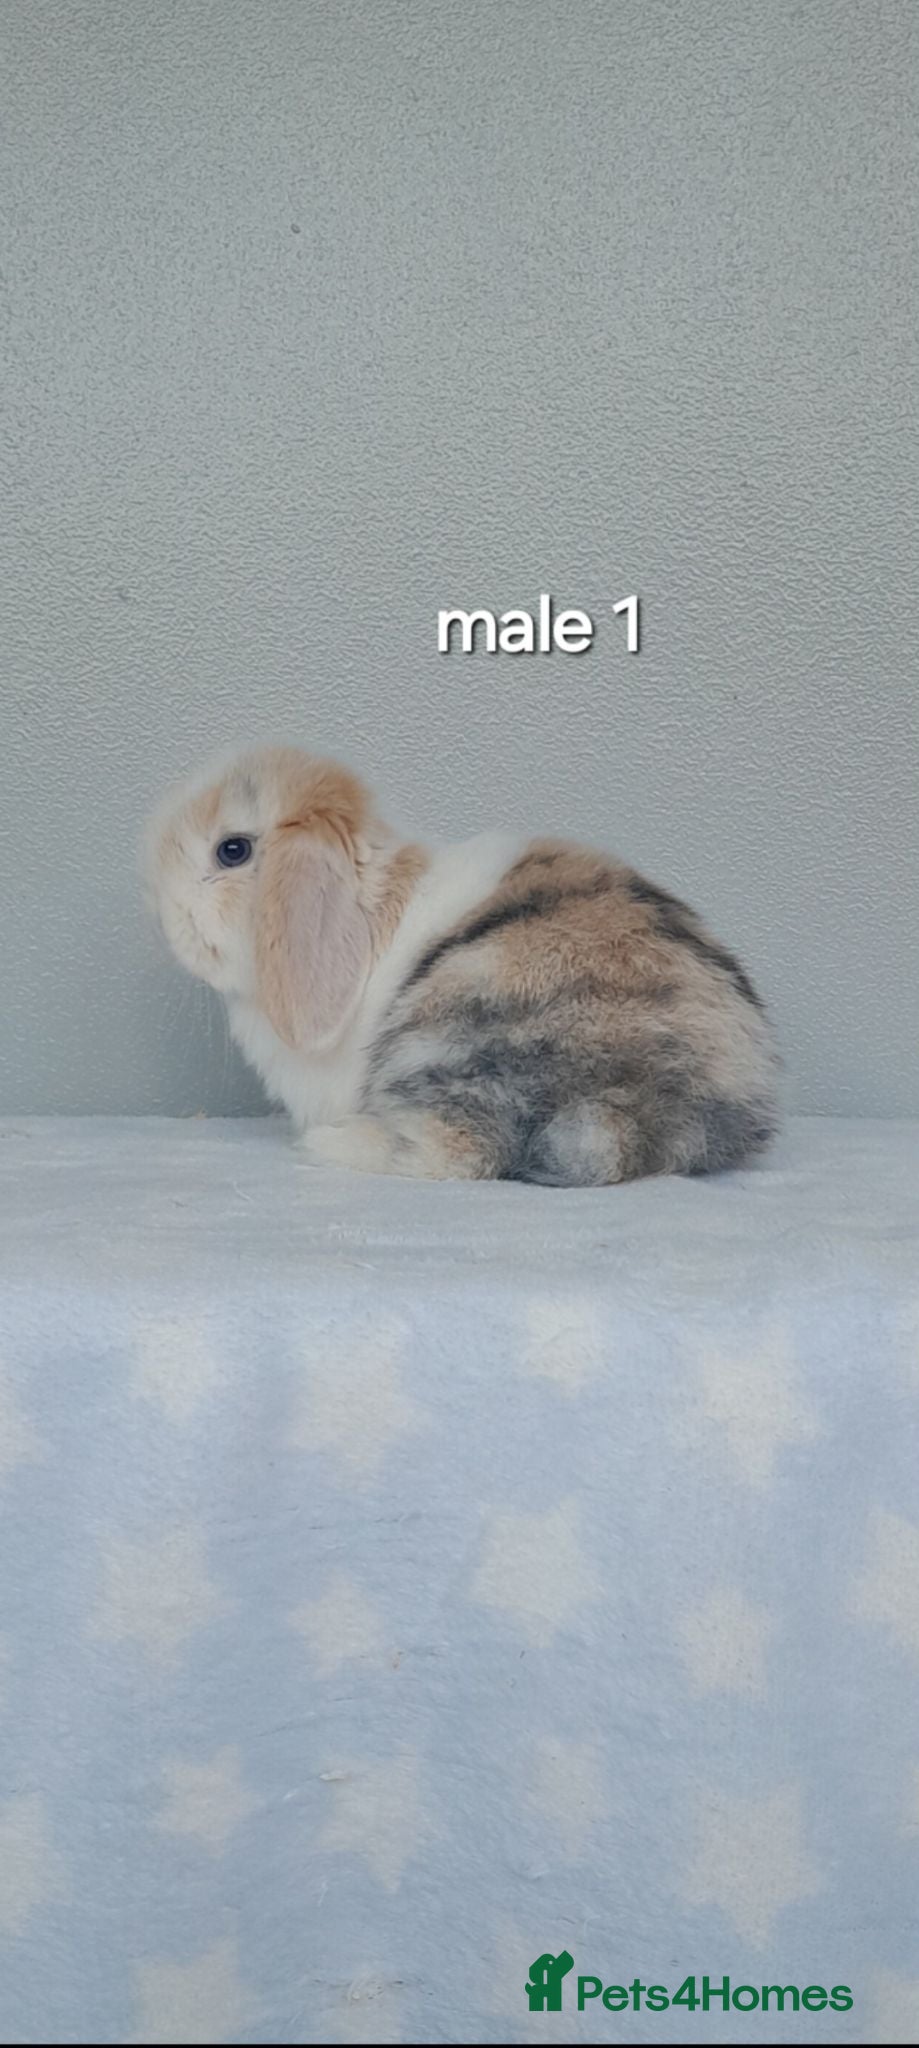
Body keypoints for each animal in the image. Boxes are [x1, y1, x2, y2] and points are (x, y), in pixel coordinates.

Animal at [145, 745, 779, 1183]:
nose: (163, 915)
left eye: (232, 850)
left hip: (452, 1032)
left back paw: (335, 1142)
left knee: (460, 1149)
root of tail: (661, 1114)